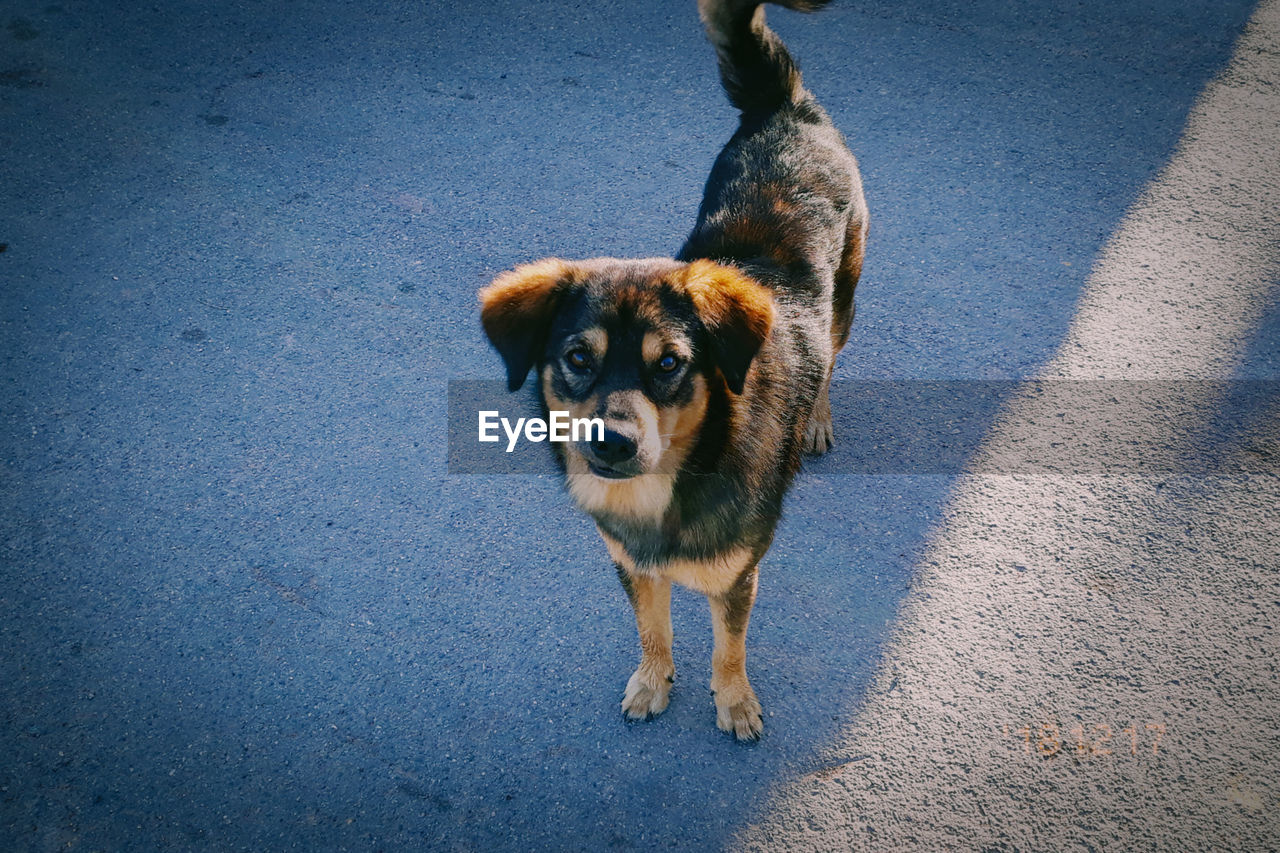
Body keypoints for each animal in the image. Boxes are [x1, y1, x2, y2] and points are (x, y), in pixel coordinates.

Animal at [481, 0, 870, 737]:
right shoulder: (633, 566)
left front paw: (735, 701)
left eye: (669, 363)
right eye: (578, 358)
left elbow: (727, 648)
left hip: (846, 291)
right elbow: (652, 629)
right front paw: (652, 680)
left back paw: (817, 418)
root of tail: (786, 105)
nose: (611, 442)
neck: (673, 480)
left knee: (833, 356)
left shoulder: (737, 576)